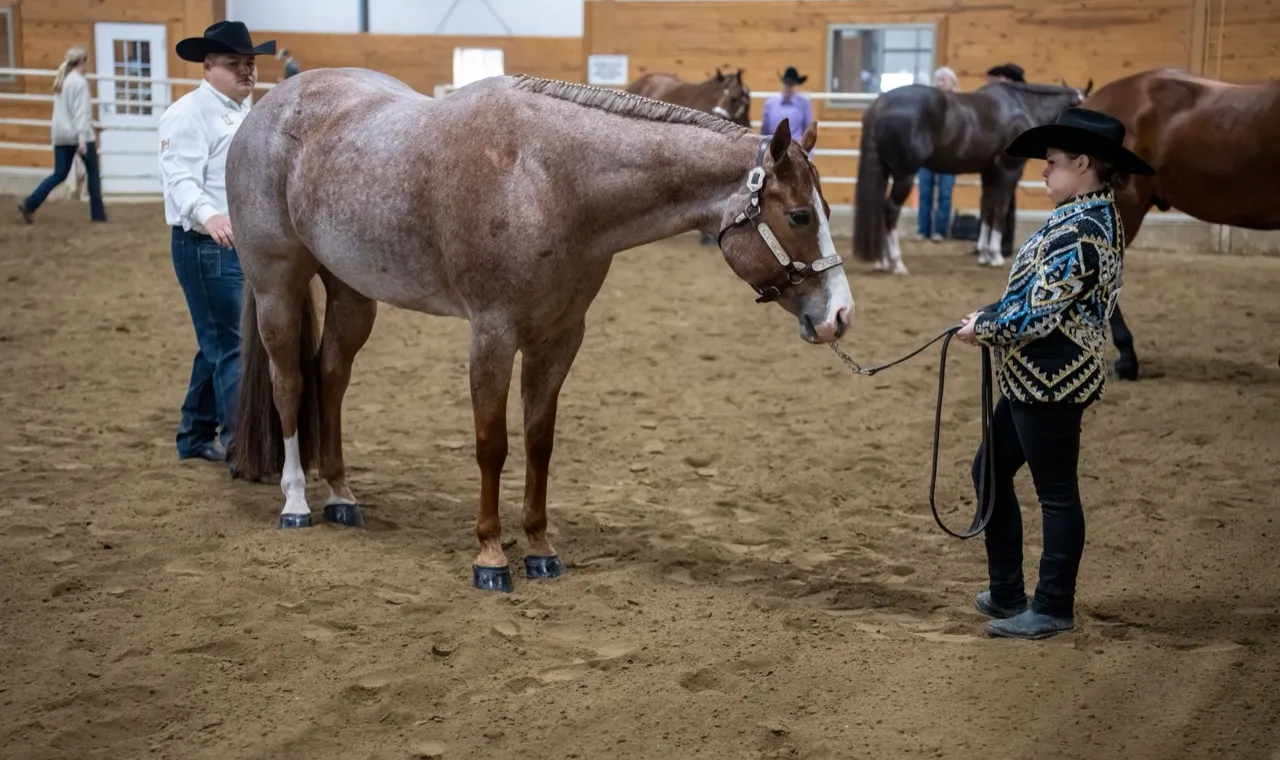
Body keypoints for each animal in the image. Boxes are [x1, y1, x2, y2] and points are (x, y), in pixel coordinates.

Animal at [225, 68, 854, 594]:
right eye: (799, 215)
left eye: (826, 209)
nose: (840, 315)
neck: (546, 178)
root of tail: (265, 109)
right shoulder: (492, 335)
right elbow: (492, 445)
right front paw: (490, 556)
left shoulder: (559, 337)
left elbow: (538, 442)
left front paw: (540, 549)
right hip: (276, 285)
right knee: (289, 384)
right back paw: (297, 502)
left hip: (353, 294)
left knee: (330, 377)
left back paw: (340, 495)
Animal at [851, 79, 1089, 275]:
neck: (1021, 106)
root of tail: (880, 103)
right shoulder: (1008, 171)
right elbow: (1000, 210)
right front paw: (995, 255)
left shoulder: (989, 173)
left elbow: (987, 210)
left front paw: (984, 254)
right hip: (905, 175)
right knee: (890, 210)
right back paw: (896, 262)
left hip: (885, 171)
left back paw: (881, 261)